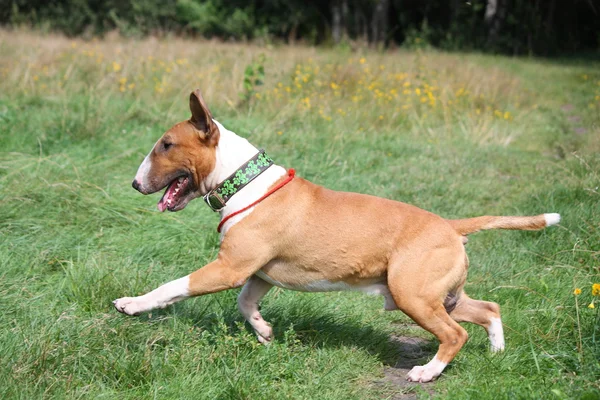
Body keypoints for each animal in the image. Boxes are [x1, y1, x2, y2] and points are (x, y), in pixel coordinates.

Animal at [113, 89, 564, 382]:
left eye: (166, 144)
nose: (134, 184)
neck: (245, 184)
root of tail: (450, 226)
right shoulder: (257, 273)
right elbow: (245, 303)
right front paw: (265, 333)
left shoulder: (229, 268)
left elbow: (172, 287)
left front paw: (131, 304)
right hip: (440, 295)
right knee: (489, 309)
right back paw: (497, 352)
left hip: (413, 295)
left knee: (456, 334)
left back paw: (427, 372)